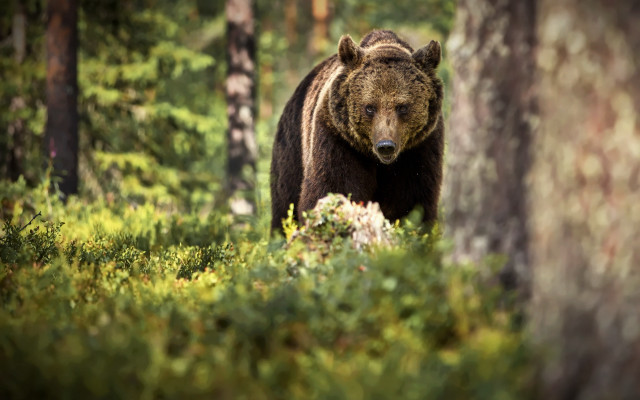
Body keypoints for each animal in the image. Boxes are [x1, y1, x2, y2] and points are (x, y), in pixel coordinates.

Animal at [270, 30, 444, 233]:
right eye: (369, 107)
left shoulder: (419, 148)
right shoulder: (338, 139)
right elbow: (334, 187)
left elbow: (413, 200)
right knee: (284, 201)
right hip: (292, 148)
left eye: (402, 107)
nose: (386, 146)